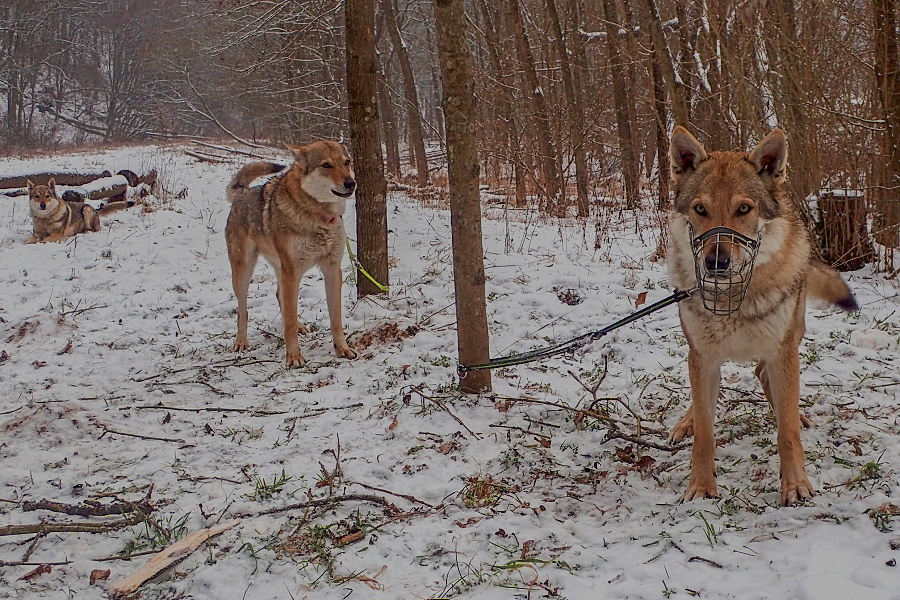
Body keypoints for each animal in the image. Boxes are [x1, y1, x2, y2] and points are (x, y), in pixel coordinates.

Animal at [668, 127, 856, 506]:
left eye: (744, 209)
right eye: (700, 209)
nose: (716, 262)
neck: (733, 298)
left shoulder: (781, 352)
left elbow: (787, 432)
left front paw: (795, 485)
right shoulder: (704, 357)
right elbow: (705, 434)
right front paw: (700, 486)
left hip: (793, 336)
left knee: (766, 379)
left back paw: (796, 414)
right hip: (699, 355)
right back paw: (686, 422)